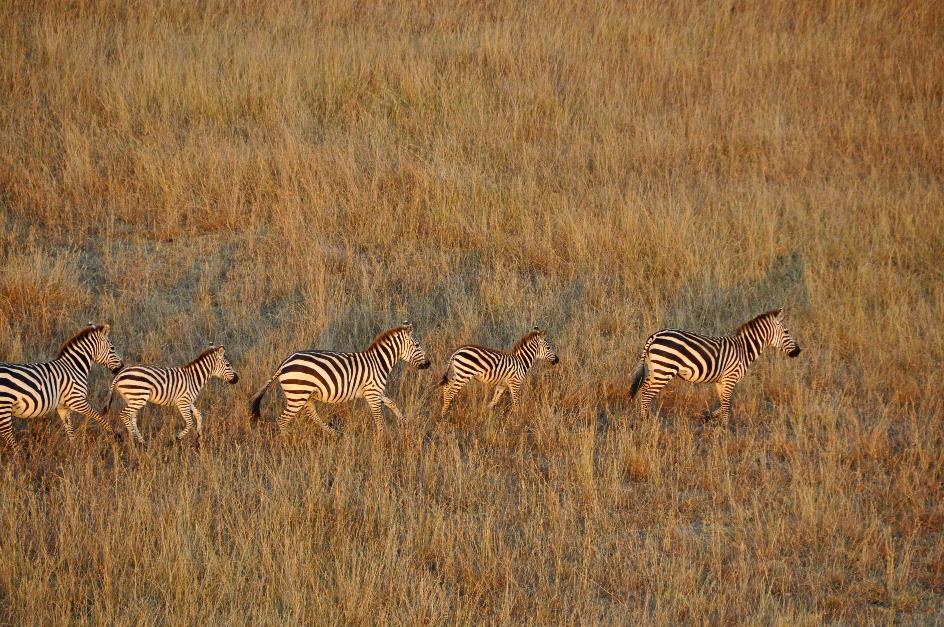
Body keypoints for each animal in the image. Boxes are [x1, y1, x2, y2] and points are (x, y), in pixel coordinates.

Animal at [0, 324, 124, 456]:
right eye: (112, 348)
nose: (121, 367)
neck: (74, 368)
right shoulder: (77, 401)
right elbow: (100, 417)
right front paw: (115, 436)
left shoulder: (63, 407)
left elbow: (69, 429)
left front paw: (74, 451)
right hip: (4, 406)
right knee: (8, 434)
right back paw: (19, 456)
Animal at [99, 344, 238, 446]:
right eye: (228, 365)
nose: (237, 379)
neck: (194, 378)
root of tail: (119, 374)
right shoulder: (182, 402)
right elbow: (189, 423)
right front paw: (175, 439)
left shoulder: (188, 401)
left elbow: (199, 415)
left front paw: (199, 439)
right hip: (139, 398)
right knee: (124, 414)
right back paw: (134, 439)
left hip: (133, 399)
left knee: (131, 418)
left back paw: (141, 441)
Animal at [249, 322, 430, 434]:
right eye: (417, 345)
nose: (428, 364)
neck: (378, 362)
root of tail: (284, 363)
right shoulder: (372, 393)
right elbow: (378, 417)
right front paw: (381, 438)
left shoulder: (374, 391)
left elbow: (391, 403)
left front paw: (404, 422)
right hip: (298, 395)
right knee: (283, 420)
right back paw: (287, 443)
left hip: (305, 395)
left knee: (312, 414)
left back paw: (334, 433)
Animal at [632, 308, 800, 422]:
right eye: (786, 331)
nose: (798, 351)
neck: (744, 349)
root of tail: (654, 336)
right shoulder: (730, 378)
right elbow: (727, 404)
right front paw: (725, 429)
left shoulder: (721, 381)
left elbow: (723, 402)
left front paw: (709, 417)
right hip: (664, 370)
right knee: (646, 395)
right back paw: (645, 421)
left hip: (655, 369)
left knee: (643, 390)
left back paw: (646, 416)